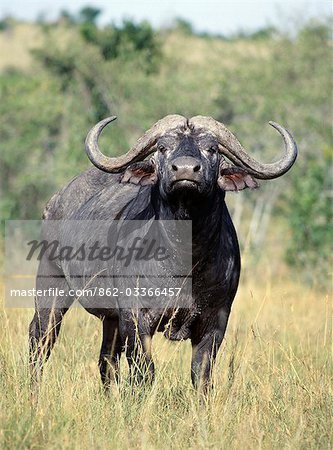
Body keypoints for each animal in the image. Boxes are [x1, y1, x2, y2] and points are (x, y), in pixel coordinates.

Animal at [28, 115, 296, 390]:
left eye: (212, 148)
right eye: (162, 147)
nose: (186, 170)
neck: (185, 257)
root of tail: (55, 201)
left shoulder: (216, 320)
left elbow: (201, 374)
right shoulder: (135, 318)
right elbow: (144, 371)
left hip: (110, 318)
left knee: (107, 360)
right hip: (51, 288)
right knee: (41, 339)